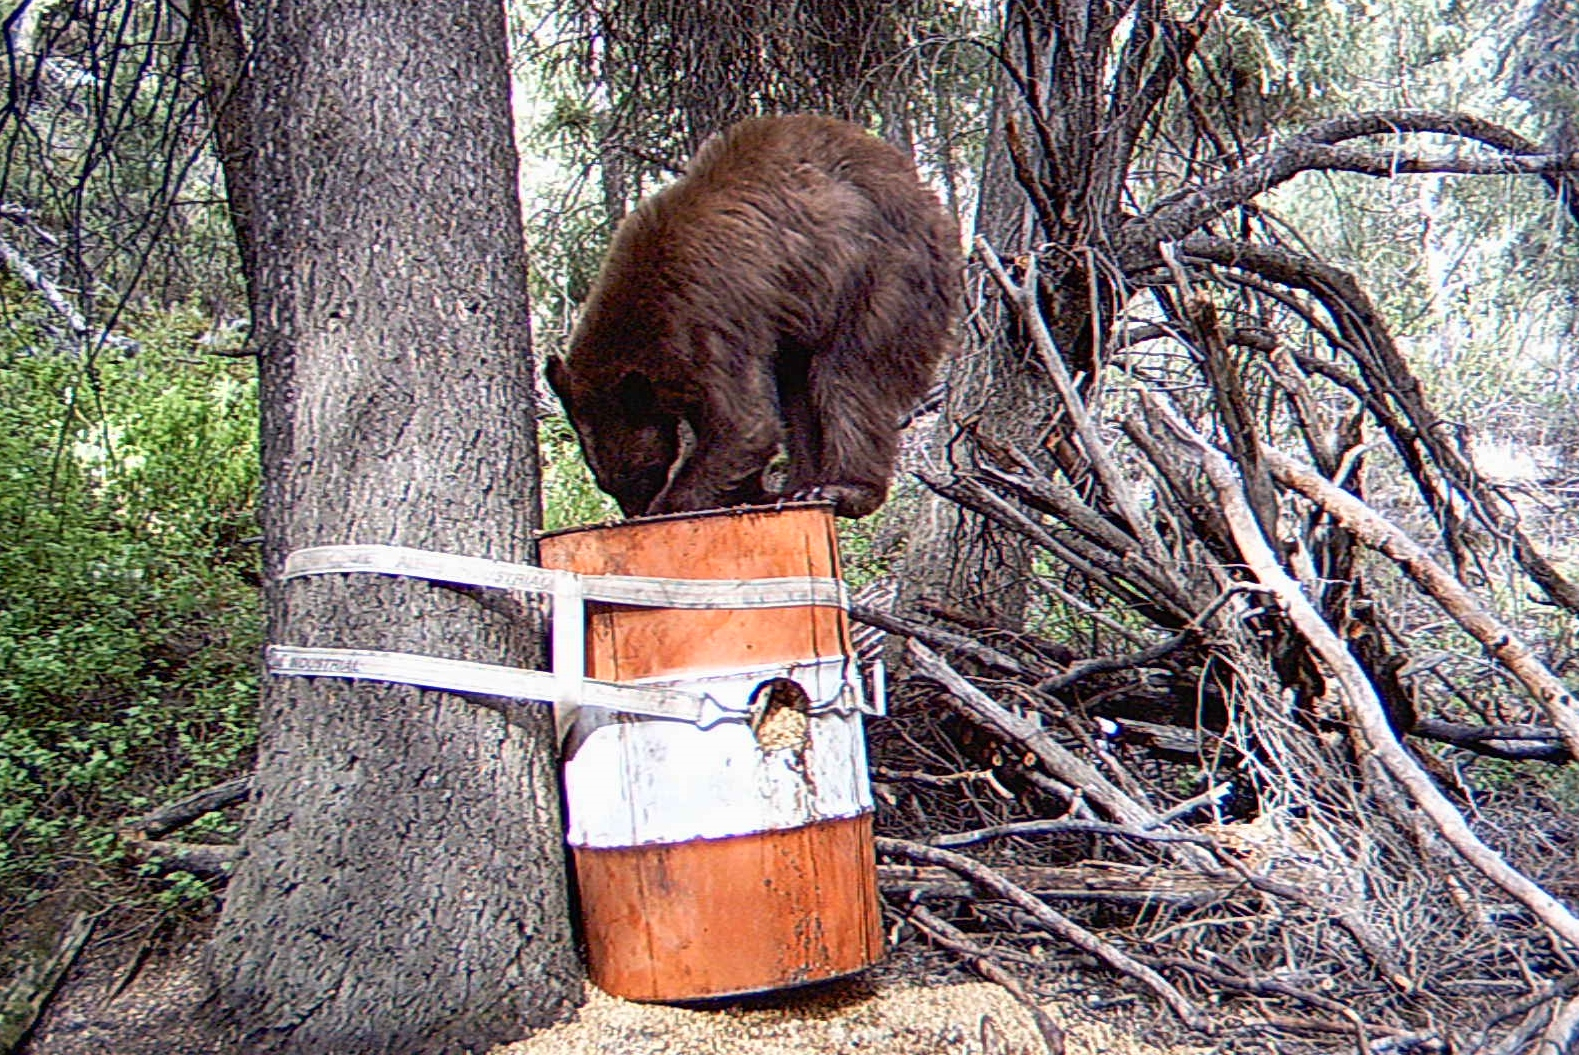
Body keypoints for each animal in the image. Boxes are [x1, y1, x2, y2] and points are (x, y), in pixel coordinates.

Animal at [543, 114, 960, 518]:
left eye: (641, 474)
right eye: (606, 482)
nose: (633, 511)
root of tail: (930, 202)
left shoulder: (709, 320)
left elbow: (745, 425)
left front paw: (673, 505)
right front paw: (748, 492)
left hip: (880, 277)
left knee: (852, 375)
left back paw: (844, 487)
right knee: (798, 391)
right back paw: (798, 486)